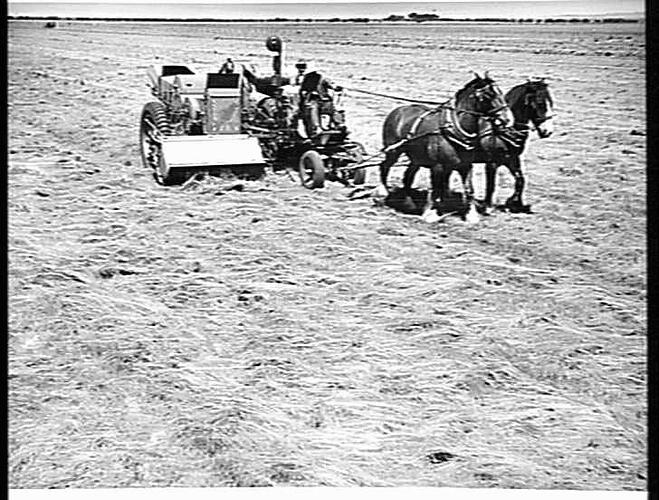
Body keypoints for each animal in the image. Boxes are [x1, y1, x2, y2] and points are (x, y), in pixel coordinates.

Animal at [376, 74, 516, 223]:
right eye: (489, 95)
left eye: (501, 93)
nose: (508, 119)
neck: (452, 128)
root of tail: (398, 111)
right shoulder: (438, 166)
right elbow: (437, 190)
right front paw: (431, 213)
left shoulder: (466, 165)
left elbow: (469, 188)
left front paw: (471, 214)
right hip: (393, 151)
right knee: (385, 166)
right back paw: (382, 193)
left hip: (417, 158)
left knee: (408, 176)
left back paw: (409, 204)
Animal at [476, 78, 556, 213]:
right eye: (540, 103)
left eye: (550, 102)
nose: (547, 131)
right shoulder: (492, 162)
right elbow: (491, 184)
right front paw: (488, 206)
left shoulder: (513, 159)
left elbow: (520, 180)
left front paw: (514, 203)